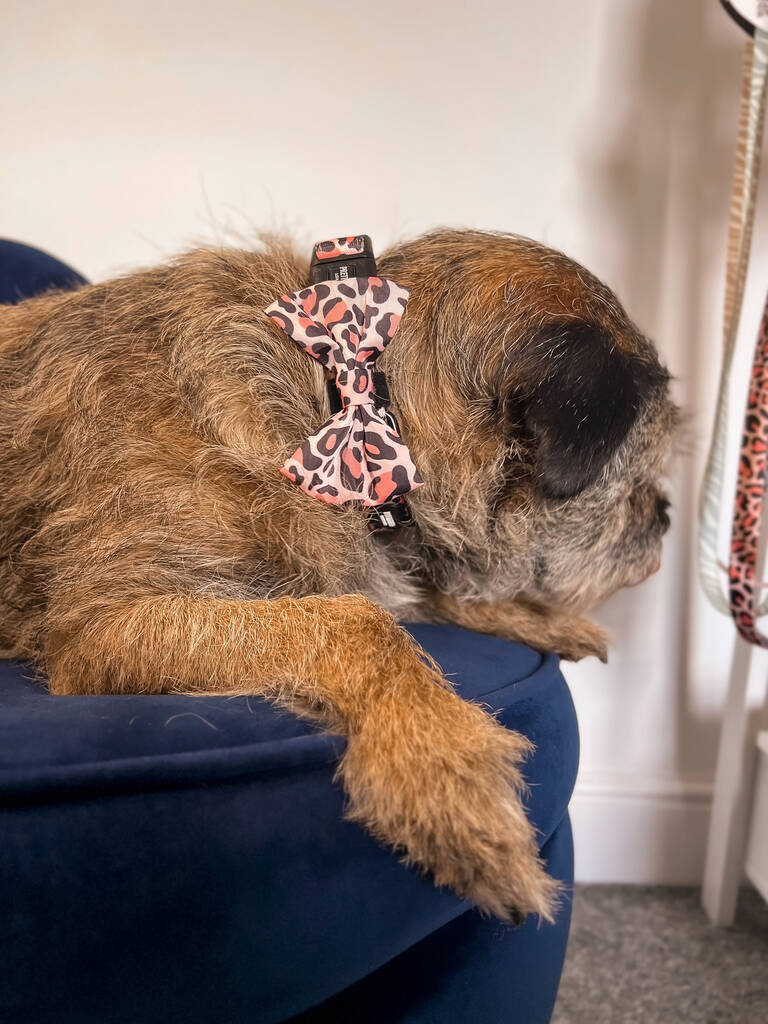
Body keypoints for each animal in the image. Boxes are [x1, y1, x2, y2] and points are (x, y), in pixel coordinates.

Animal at [0, 228, 671, 925]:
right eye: (635, 478)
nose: (667, 516)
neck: (342, 394)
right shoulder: (105, 622)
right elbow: (359, 622)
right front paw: (446, 771)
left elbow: (410, 589)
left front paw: (538, 617)